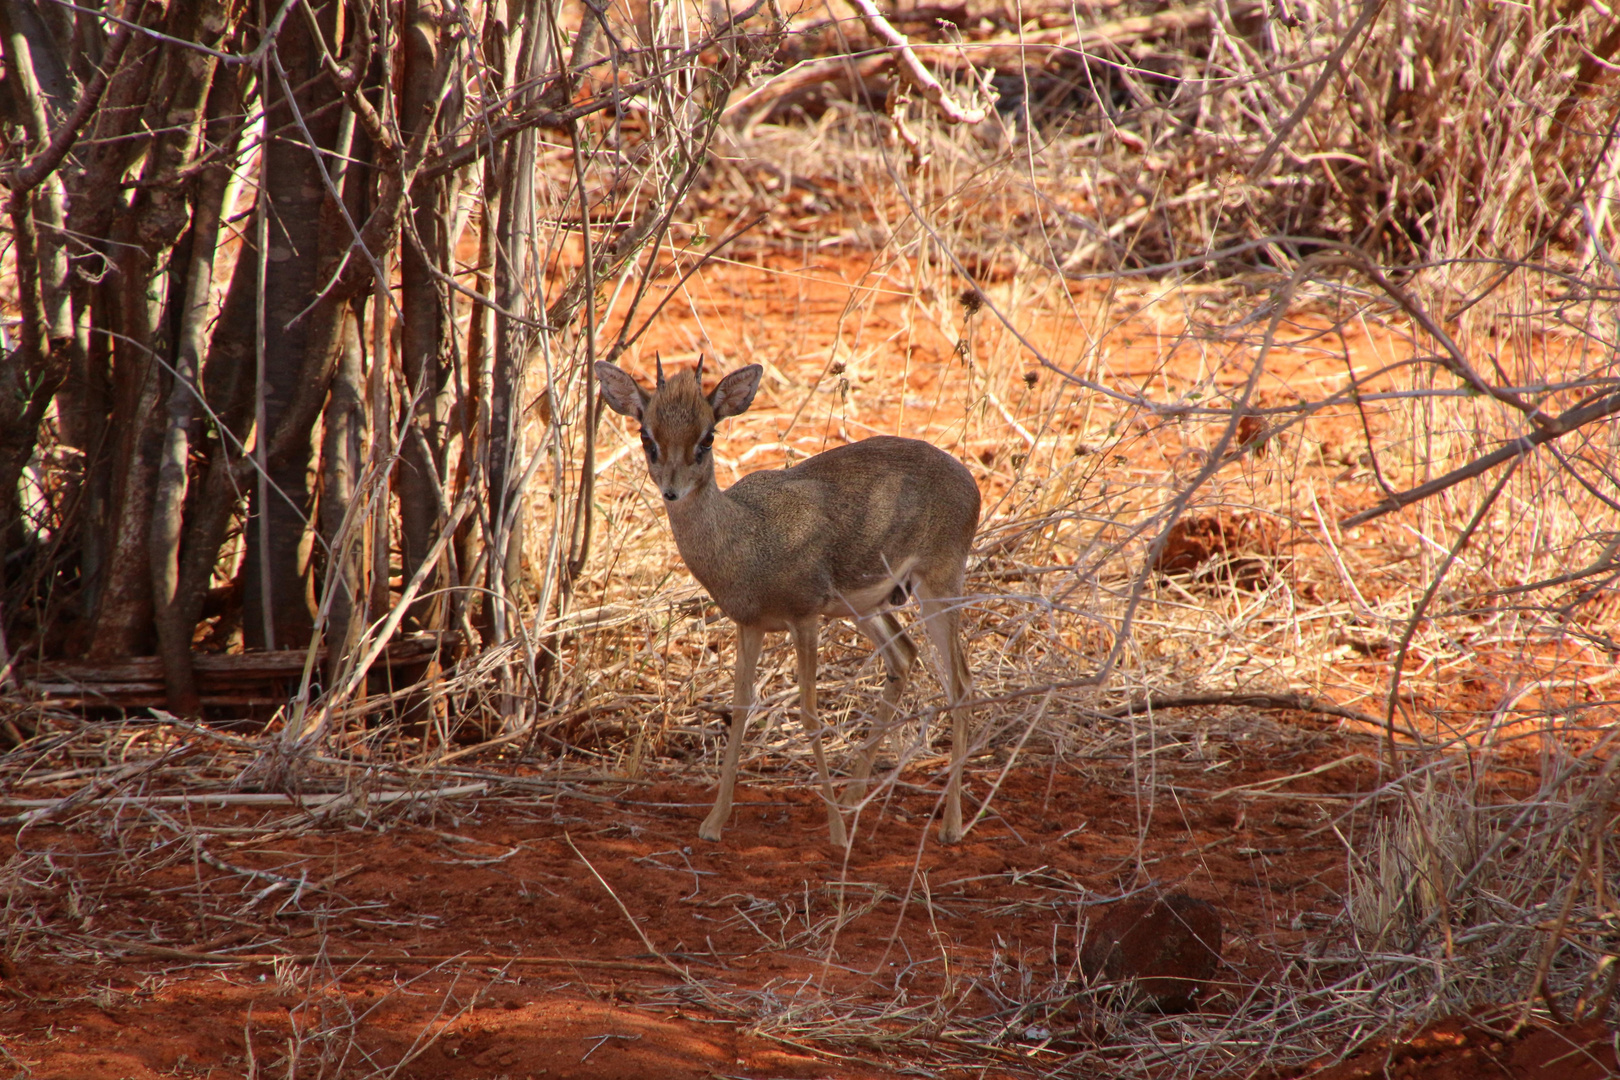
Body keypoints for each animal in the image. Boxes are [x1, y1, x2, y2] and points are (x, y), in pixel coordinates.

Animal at [596, 359, 972, 848]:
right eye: (647, 437)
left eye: (707, 437)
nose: (672, 492)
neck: (746, 536)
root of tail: (968, 479)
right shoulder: (750, 624)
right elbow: (739, 709)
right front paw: (713, 824)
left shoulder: (805, 618)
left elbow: (810, 714)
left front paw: (837, 835)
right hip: (869, 607)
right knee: (904, 658)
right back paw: (853, 795)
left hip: (938, 588)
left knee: (961, 684)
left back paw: (950, 826)